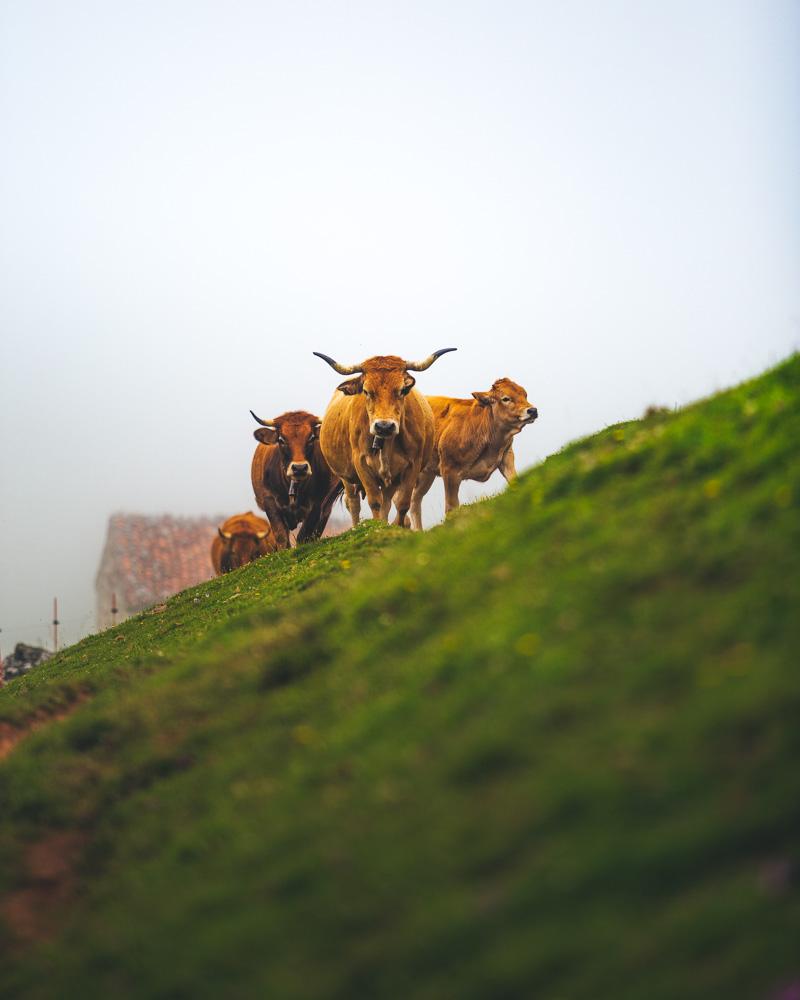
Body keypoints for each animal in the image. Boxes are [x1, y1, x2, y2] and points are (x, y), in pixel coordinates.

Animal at [247, 408, 340, 552]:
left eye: (311, 438)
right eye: (281, 439)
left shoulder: (318, 503)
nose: (299, 468)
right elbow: (281, 537)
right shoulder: (269, 501)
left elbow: (304, 535)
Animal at [316, 348, 460, 528]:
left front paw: (396, 527)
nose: (384, 426)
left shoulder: (412, 465)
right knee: (353, 503)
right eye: (366, 391)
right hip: (345, 476)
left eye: (402, 390)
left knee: (387, 502)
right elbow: (374, 502)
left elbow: (402, 503)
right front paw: (378, 528)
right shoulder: (361, 464)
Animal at [412, 376, 536, 532]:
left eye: (525, 394)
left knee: (414, 500)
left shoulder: (506, 457)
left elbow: (514, 481)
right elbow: (451, 507)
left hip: (426, 474)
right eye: (506, 398)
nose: (532, 410)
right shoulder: (449, 470)